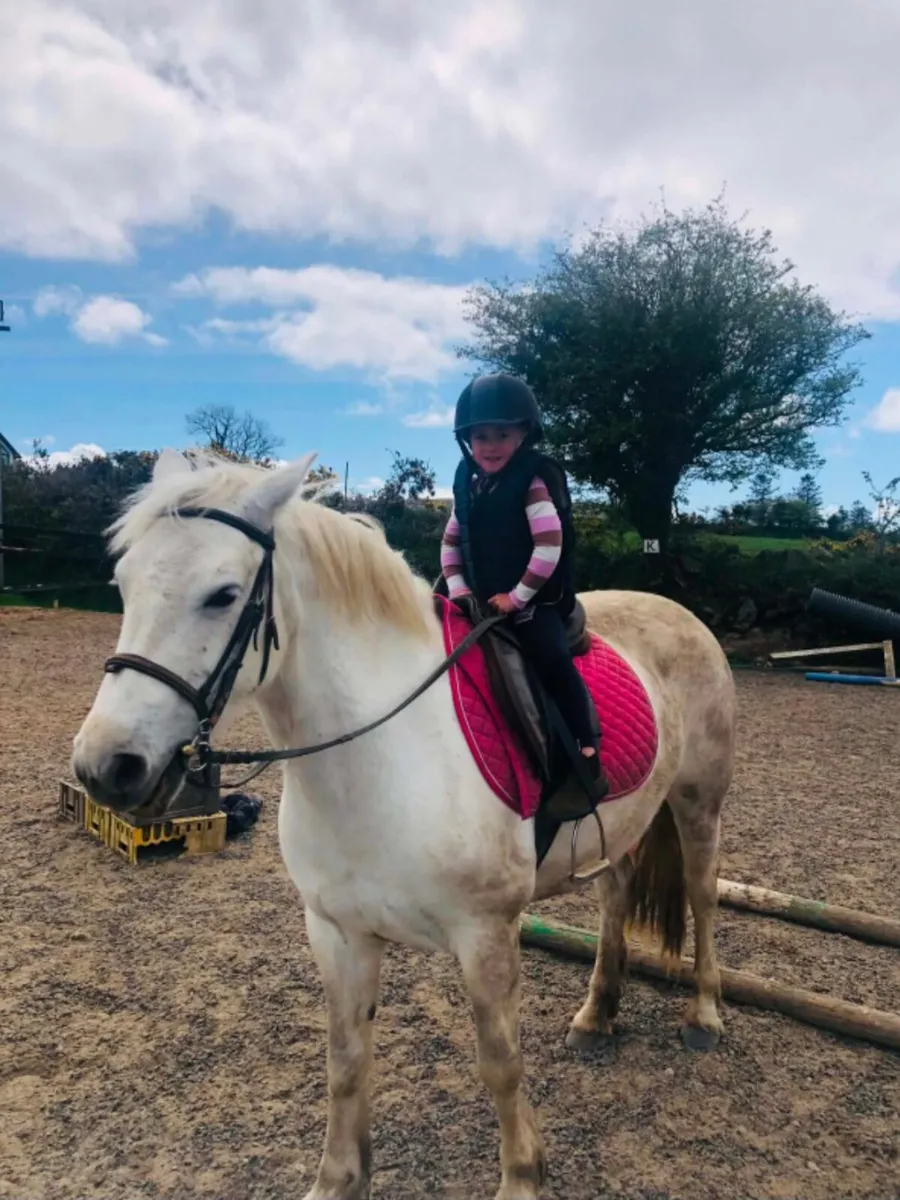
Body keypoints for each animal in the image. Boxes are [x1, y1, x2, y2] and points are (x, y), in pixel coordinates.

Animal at [72, 449, 736, 1200]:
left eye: (222, 594)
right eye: (123, 586)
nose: (106, 766)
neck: (383, 756)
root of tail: (679, 611)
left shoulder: (485, 936)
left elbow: (500, 1063)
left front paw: (522, 1178)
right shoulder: (337, 933)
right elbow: (345, 1061)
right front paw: (337, 1180)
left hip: (697, 802)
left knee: (703, 895)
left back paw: (704, 1014)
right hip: (621, 826)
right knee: (616, 897)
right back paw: (598, 1014)